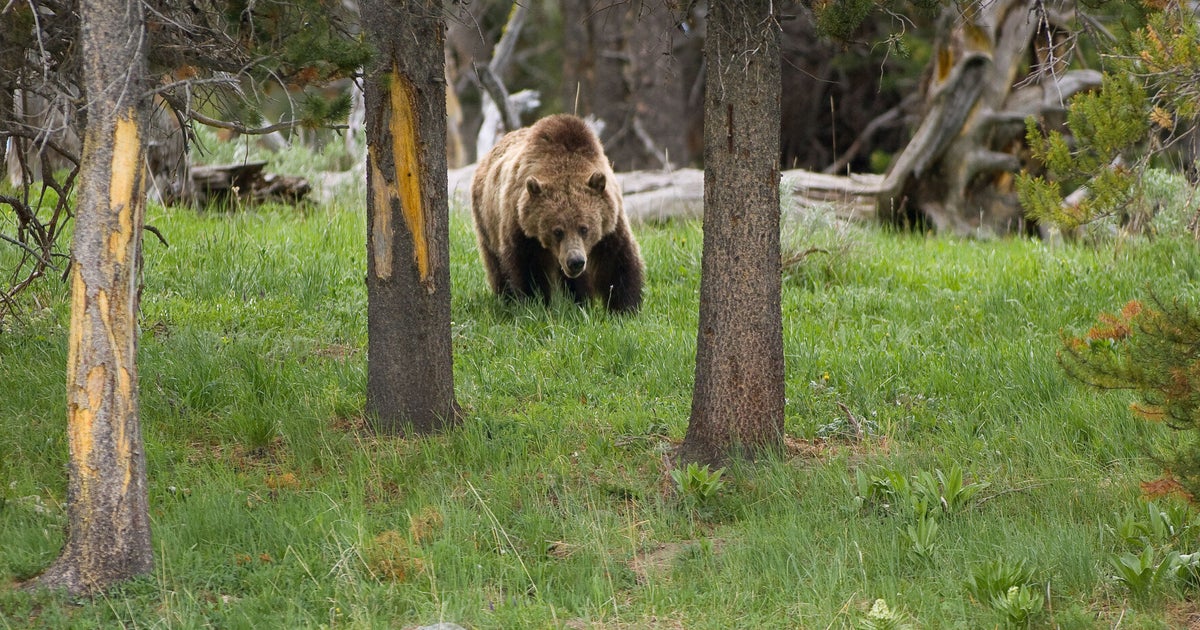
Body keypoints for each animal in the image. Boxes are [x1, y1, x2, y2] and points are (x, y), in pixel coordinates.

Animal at [470, 114, 644, 313]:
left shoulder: (611, 220)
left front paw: (625, 309)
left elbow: (617, 260)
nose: (575, 261)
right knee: (496, 265)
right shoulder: (521, 226)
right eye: (557, 231)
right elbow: (528, 269)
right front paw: (535, 304)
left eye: (584, 228)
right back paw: (506, 299)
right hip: (486, 222)